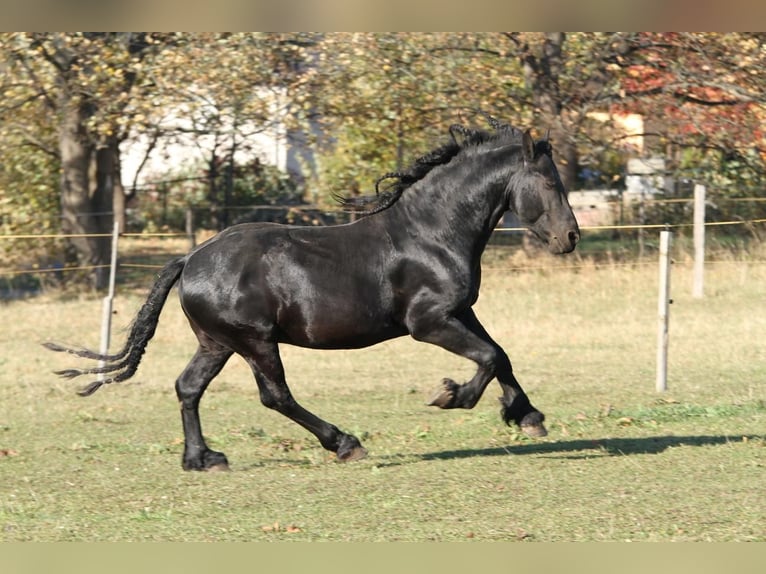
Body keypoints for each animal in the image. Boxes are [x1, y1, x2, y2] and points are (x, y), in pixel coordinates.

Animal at [46, 118, 584, 472]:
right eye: (548, 181)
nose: (571, 238)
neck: (430, 234)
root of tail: (191, 258)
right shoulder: (429, 322)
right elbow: (489, 358)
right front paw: (451, 395)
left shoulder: (459, 312)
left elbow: (501, 354)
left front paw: (528, 416)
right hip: (254, 342)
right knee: (275, 395)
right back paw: (345, 443)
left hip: (217, 342)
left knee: (188, 387)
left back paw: (203, 459)